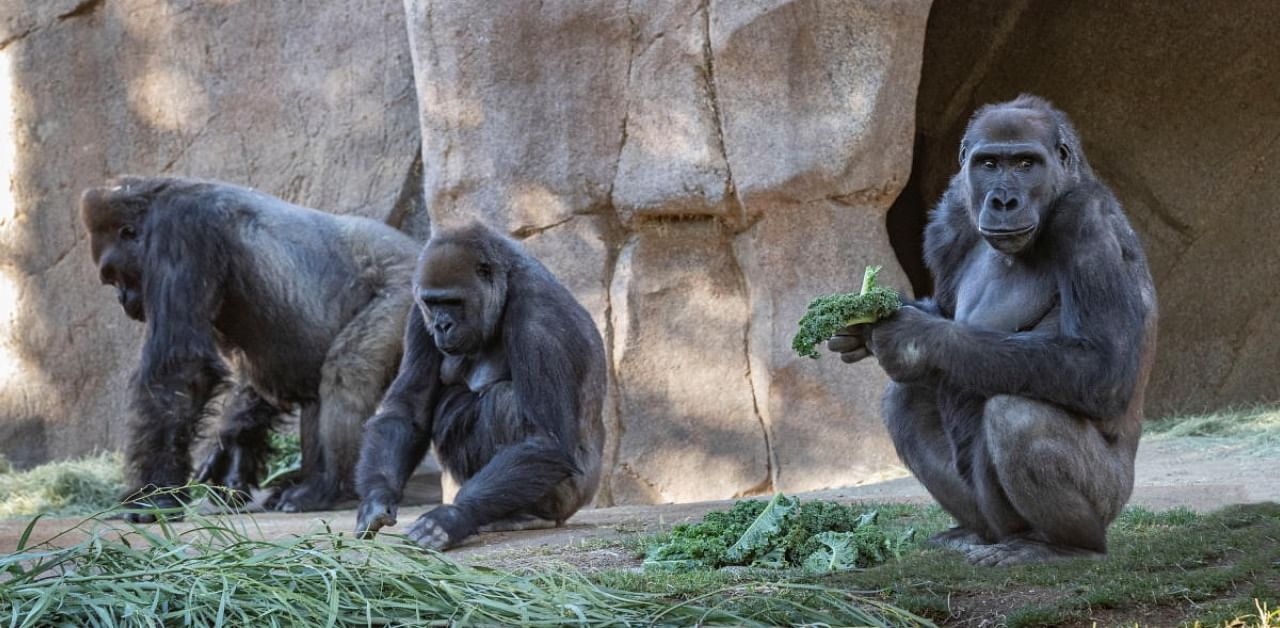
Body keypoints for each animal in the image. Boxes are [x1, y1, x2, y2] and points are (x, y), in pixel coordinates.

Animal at [80, 176, 419, 521]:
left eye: (115, 274)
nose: (122, 300)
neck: (156, 202)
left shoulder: (180, 229)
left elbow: (181, 370)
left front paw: (155, 493)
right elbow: (258, 376)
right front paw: (233, 446)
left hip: (405, 288)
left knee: (346, 372)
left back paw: (326, 485)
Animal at [353, 221, 606, 549]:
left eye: (453, 302)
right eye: (433, 303)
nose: (442, 325)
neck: (507, 285)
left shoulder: (539, 318)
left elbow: (544, 440)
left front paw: (453, 516)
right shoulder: (418, 315)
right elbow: (407, 411)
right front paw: (375, 500)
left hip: (571, 497)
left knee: (503, 399)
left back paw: (527, 515)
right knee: (454, 403)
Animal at [829, 95, 1162, 567]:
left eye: (1025, 163)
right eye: (989, 163)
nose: (1003, 200)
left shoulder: (1086, 218)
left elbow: (1102, 363)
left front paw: (913, 338)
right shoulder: (951, 218)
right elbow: (944, 310)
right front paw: (864, 324)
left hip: (1112, 497)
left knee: (1018, 415)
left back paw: (1064, 545)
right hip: (988, 516)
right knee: (905, 401)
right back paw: (973, 532)